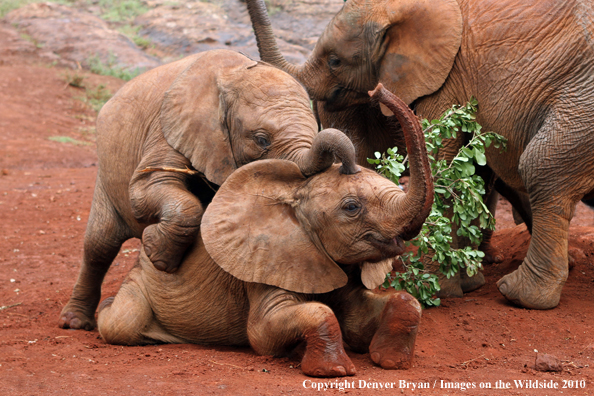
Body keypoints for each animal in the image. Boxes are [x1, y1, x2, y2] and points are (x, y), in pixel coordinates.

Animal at [96, 86, 430, 378]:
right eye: (351, 207)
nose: (378, 91)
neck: (292, 195)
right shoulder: (263, 267)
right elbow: (270, 330)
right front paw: (334, 371)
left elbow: (377, 313)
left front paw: (391, 363)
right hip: (140, 281)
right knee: (121, 323)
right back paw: (109, 309)